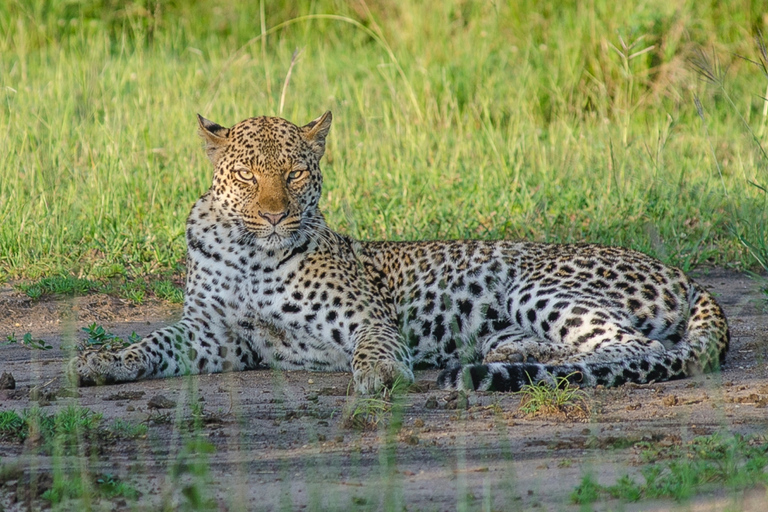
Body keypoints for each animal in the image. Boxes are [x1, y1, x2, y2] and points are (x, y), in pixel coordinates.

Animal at [69, 111, 728, 392]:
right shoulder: (215, 335)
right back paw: (503, 355)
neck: (251, 253)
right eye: (249, 176)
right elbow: (152, 343)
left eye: (295, 173)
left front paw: (382, 375)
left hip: (536, 282)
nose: (275, 213)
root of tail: (687, 276)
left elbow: (378, 346)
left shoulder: (367, 317)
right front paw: (100, 362)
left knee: (635, 348)